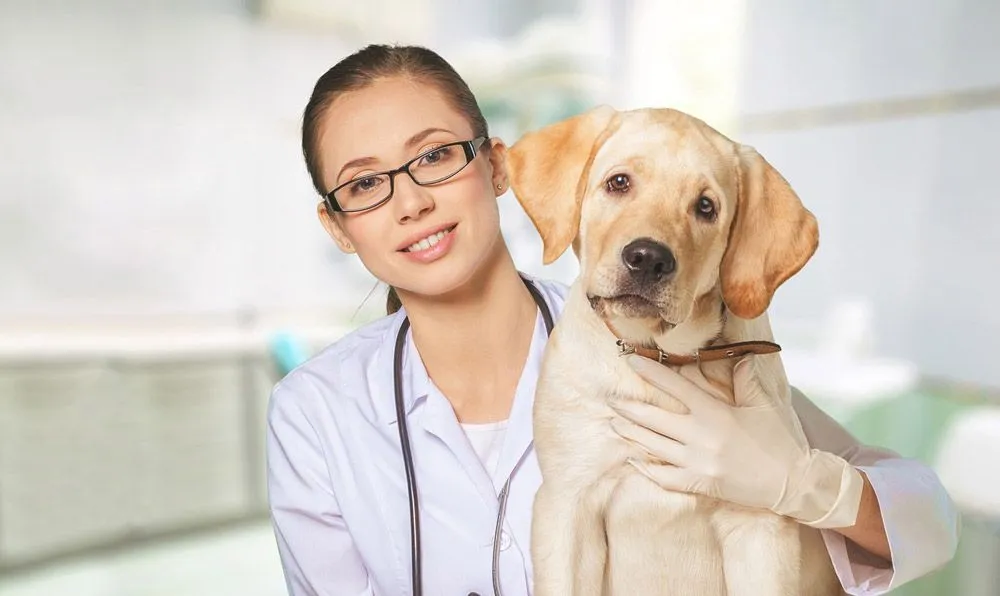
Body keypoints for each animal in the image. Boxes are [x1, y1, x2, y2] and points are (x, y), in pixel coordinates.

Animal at [508, 106, 844, 596]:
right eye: (619, 182)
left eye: (706, 207)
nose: (648, 258)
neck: (663, 357)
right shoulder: (568, 504)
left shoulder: (760, 526)